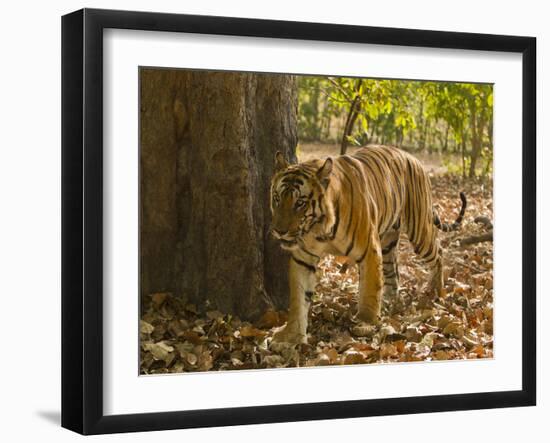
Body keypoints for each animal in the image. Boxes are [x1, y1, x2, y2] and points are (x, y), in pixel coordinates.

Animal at [270, 146, 468, 346]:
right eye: (277, 198)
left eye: (300, 203)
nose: (279, 231)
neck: (319, 229)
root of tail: (414, 158)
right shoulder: (303, 258)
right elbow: (298, 298)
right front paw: (291, 336)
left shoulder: (369, 250)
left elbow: (370, 290)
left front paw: (366, 323)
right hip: (388, 242)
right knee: (393, 273)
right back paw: (388, 302)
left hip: (419, 231)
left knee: (439, 253)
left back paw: (436, 291)